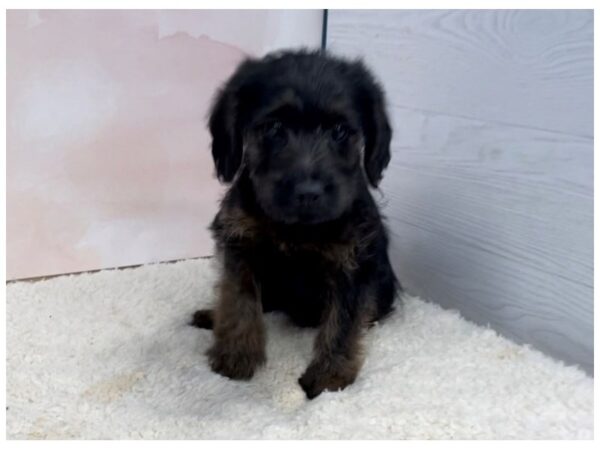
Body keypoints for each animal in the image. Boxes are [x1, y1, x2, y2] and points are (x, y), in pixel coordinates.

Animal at [192, 51, 398, 400]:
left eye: (339, 131)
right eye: (274, 127)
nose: (308, 193)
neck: (297, 229)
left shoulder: (353, 263)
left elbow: (343, 322)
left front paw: (330, 377)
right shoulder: (239, 243)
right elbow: (238, 299)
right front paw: (236, 355)